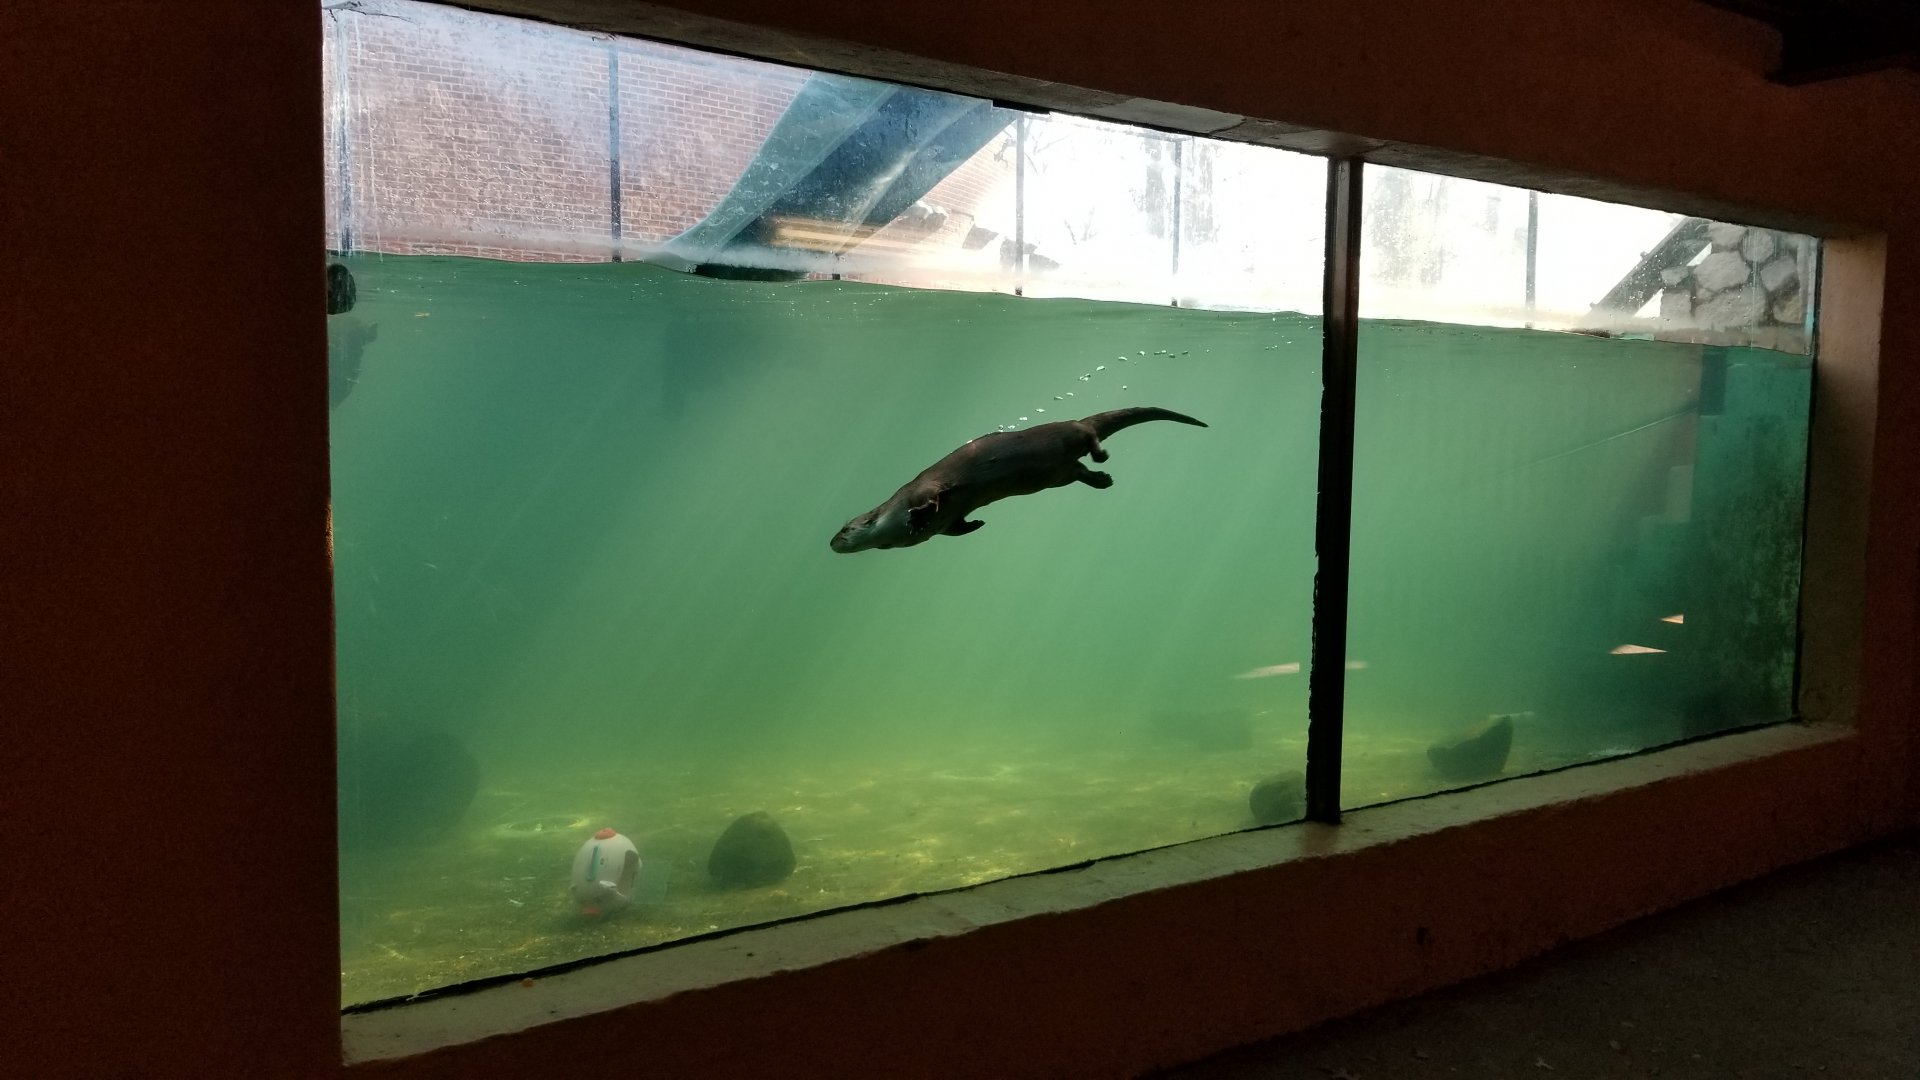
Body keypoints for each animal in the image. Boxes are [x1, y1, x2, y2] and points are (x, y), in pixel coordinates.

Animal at [830, 406, 1206, 553]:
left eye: (846, 529)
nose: (832, 543)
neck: (893, 514)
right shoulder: (948, 522)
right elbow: (956, 525)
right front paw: (977, 523)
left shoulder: (922, 488)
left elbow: (933, 498)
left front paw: (919, 518)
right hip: (1057, 473)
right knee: (1077, 470)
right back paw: (1102, 478)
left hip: (1063, 435)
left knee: (1088, 436)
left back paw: (1101, 456)